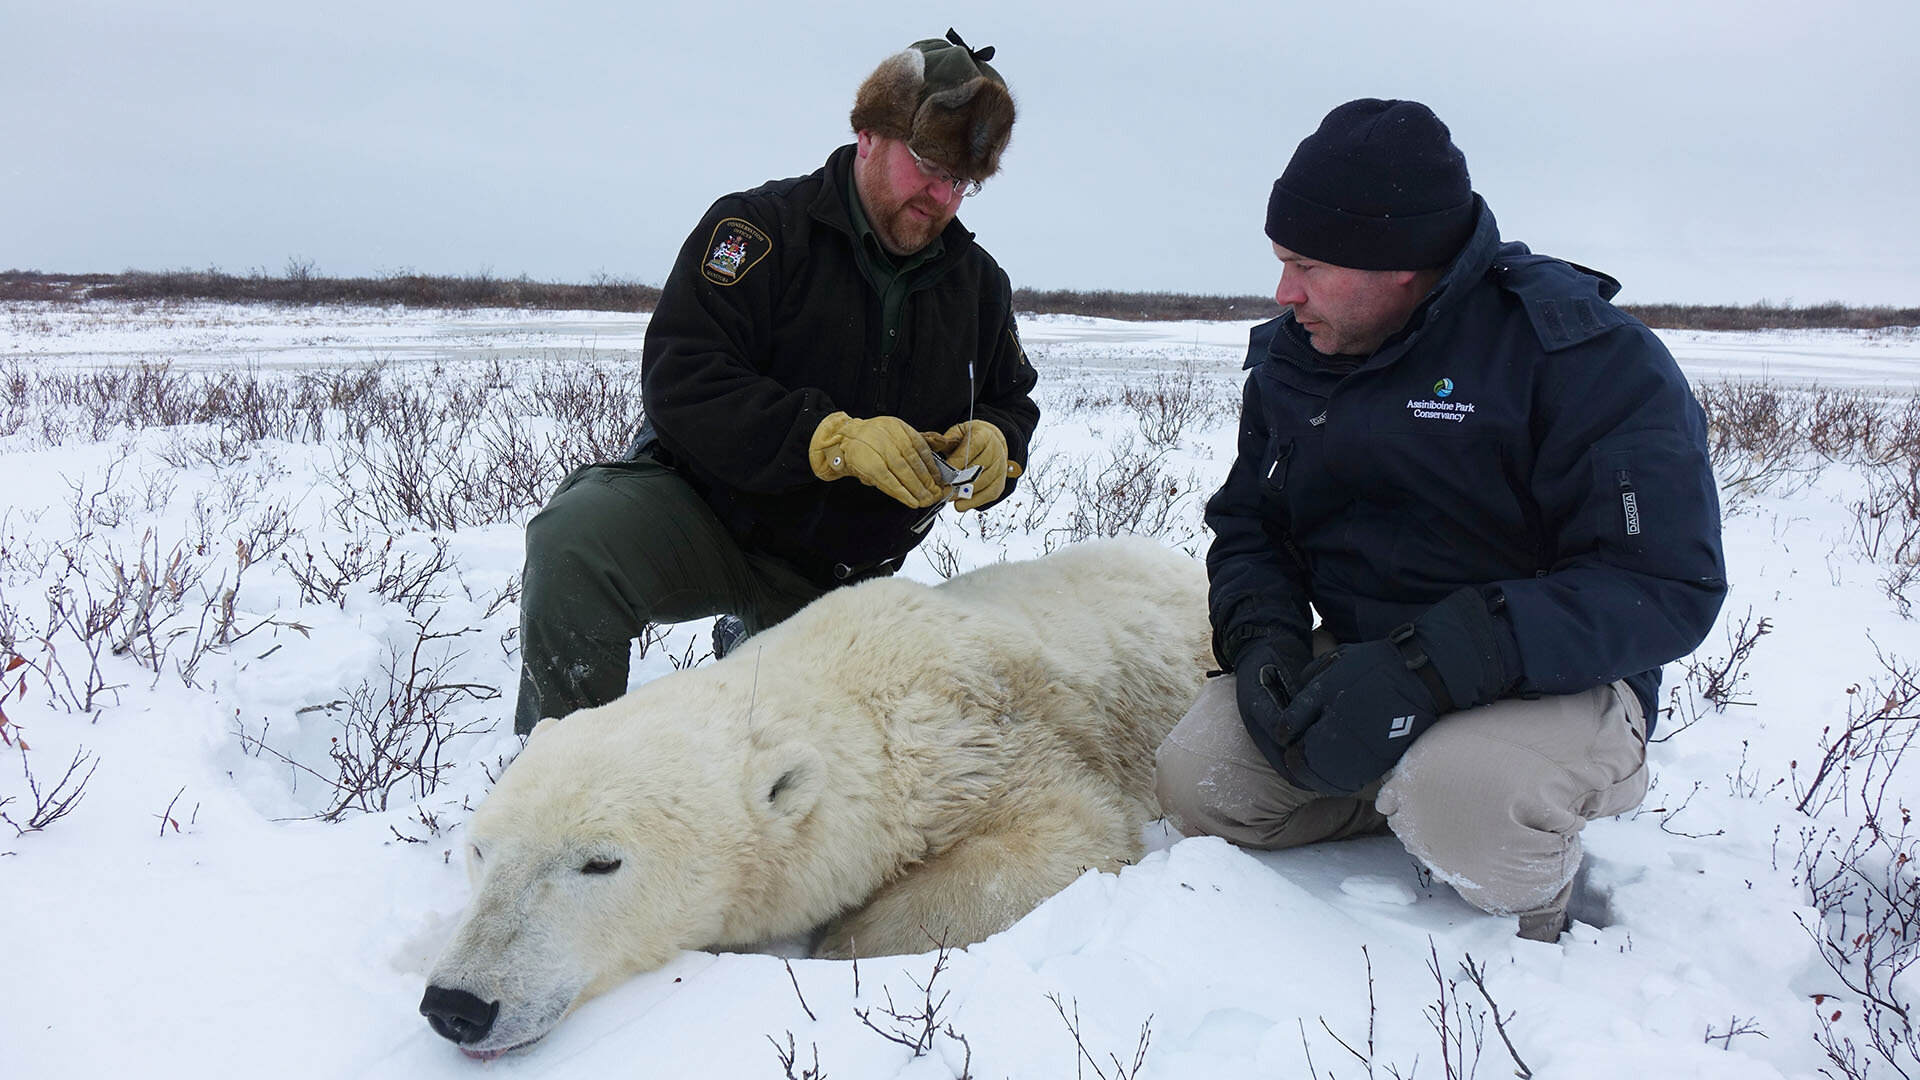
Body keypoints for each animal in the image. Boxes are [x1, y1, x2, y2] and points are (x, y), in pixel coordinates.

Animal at [419, 537, 1211, 1058]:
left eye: (599, 862)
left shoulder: (993, 742)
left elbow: (1067, 832)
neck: (864, 690)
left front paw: (839, 945)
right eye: (479, 851)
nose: (458, 1005)